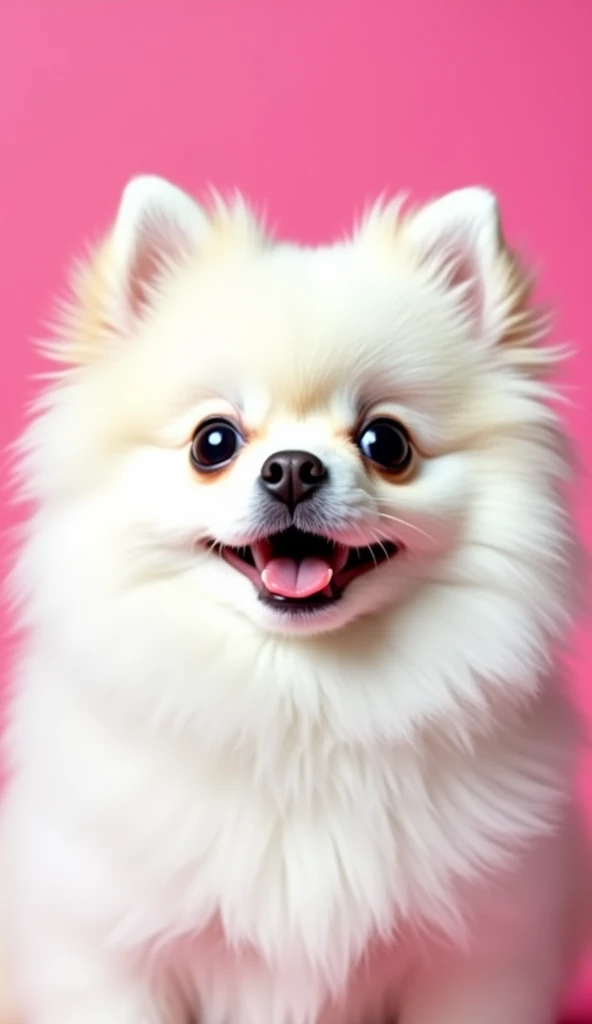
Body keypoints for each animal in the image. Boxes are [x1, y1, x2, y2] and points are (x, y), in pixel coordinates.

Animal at [2, 178, 585, 1024]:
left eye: (386, 443)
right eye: (213, 441)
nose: (292, 468)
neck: (303, 702)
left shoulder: (477, 958)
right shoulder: (109, 950)